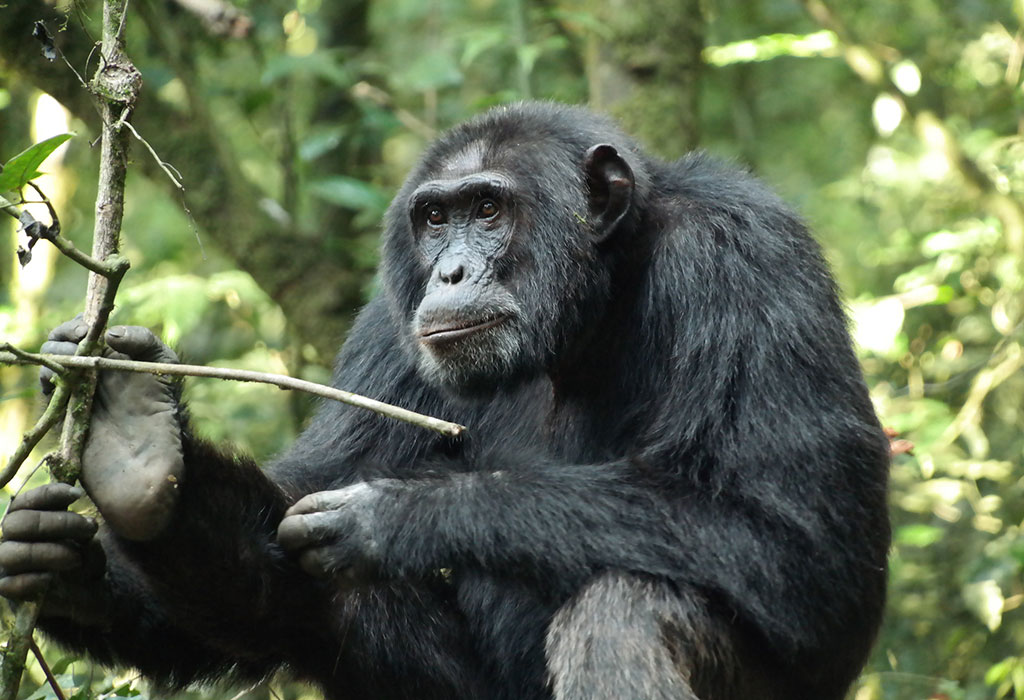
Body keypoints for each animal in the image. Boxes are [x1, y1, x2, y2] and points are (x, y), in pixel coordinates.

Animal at [0, 102, 888, 700]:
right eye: (434, 218)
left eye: (488, 209)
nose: (452, 270)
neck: (585, 317)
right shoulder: (390, 332)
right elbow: (288, 523)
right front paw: (63, 543)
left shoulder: (744, 260)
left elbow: (798, 545)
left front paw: (401, 515)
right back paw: (136, 455)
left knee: (627, 609)